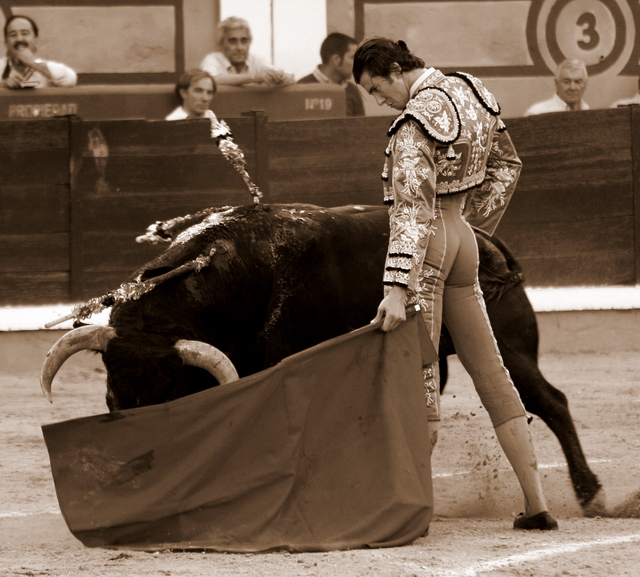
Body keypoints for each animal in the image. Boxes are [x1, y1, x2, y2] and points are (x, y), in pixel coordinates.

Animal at [41, 202, 604, 512]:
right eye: (113, 399)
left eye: (168, 397)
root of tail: (483, 237)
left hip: (509, 342)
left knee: (548, 401)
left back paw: (590, 494)